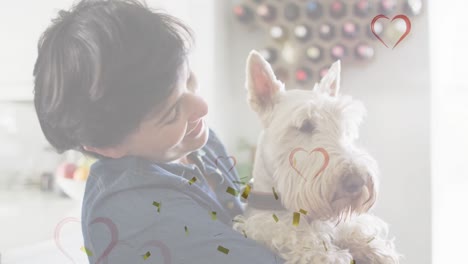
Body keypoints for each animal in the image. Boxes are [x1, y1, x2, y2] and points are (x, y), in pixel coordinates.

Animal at [234, 50, 402, 262]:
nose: (356, 182)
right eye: (306, 125)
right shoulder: (263, 225)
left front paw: (378, 250)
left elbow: (354, 230)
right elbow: (298, 237)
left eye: (344, 127)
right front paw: (330, 254)